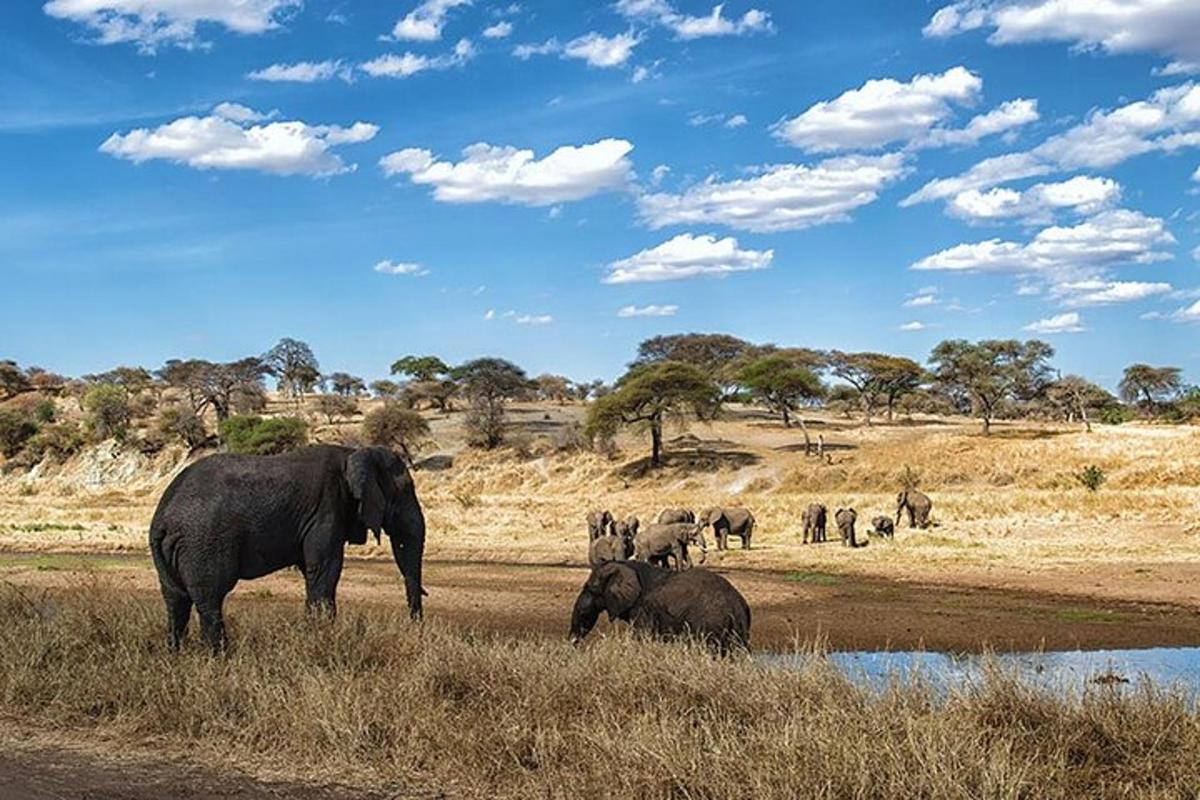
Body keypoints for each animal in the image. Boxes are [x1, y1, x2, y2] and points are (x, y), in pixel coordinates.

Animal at [149, 448, 424, 652]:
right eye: (406, 490)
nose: (414, 628)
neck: (354, 452)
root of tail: (162, 519)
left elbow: (312, 571)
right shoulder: (326, 510)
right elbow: (325, 570)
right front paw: (321, 639)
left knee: (176, 599)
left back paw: (177, 655)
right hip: (204, 542)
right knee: (209, 598)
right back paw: (219, 657)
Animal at [568, 561, 748, 652]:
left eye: (591, 589)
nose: (574, 645)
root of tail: (738, 609)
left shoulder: (644, 609)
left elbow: (642, 637)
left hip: (710, 624)